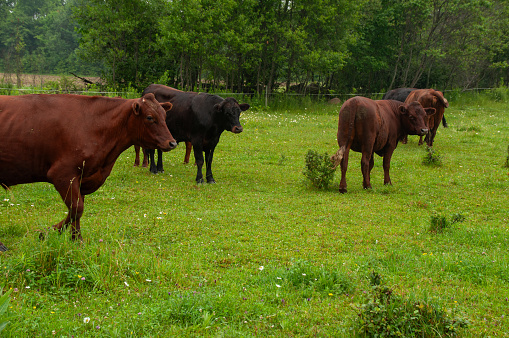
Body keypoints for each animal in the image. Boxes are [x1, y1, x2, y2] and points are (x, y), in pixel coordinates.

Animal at [0, 92, 177, 251]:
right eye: (149, 117)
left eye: (164, 116)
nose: (172, 143)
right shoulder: (63, 174)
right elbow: (77, 209)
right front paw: (47, 232)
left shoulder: (83, 177)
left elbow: (77, 211)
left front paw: (77, 241)